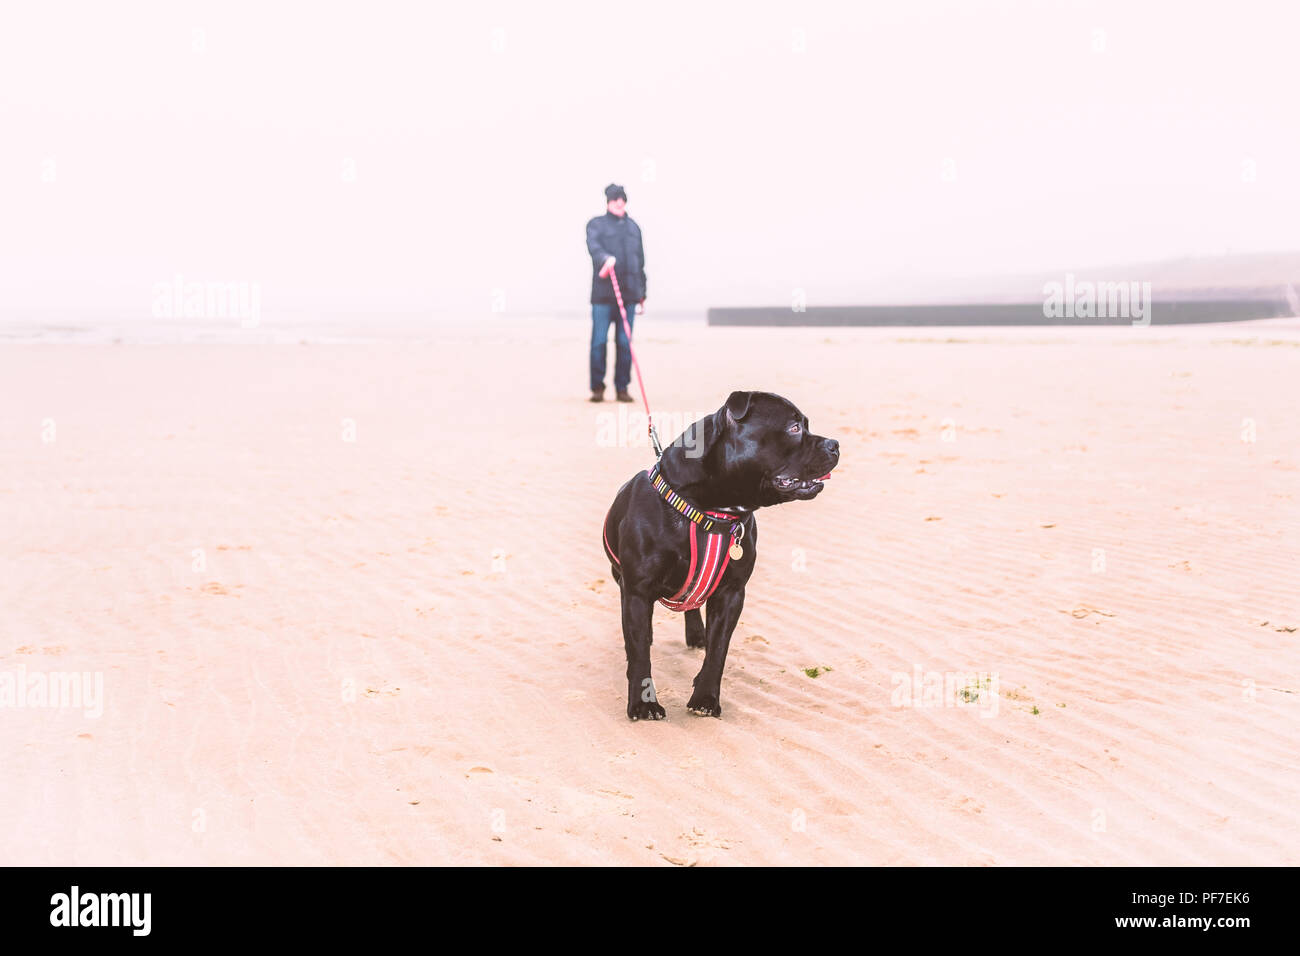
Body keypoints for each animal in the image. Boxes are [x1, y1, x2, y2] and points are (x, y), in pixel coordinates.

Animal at [600, 390, 837, 717]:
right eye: (794, 428)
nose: (835, 445)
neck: (711, 511)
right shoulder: (636, 591)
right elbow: (639, 653)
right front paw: (643, 703)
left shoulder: (731, 594)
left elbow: (718, 650)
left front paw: (705, 697)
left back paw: (696, 635)